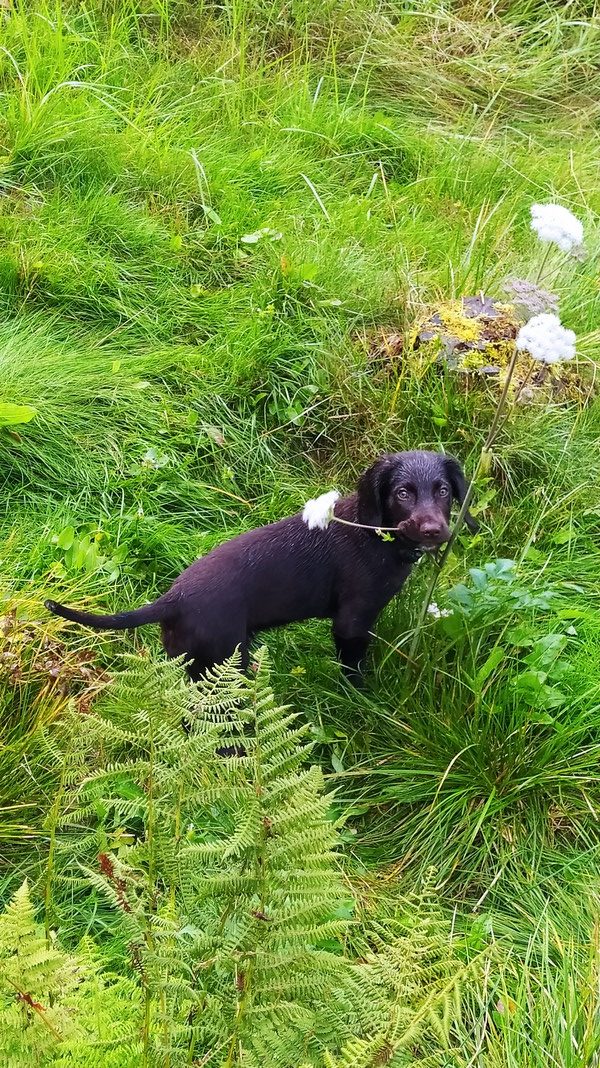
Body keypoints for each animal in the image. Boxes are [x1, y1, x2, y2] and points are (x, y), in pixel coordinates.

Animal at [45, 451, 477, 682]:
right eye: (403, 493)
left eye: (442, 490)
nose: (434, 530)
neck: (375, 533)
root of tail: (172, 599)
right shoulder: (352, 622)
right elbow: (354, 670)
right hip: (221, 659)